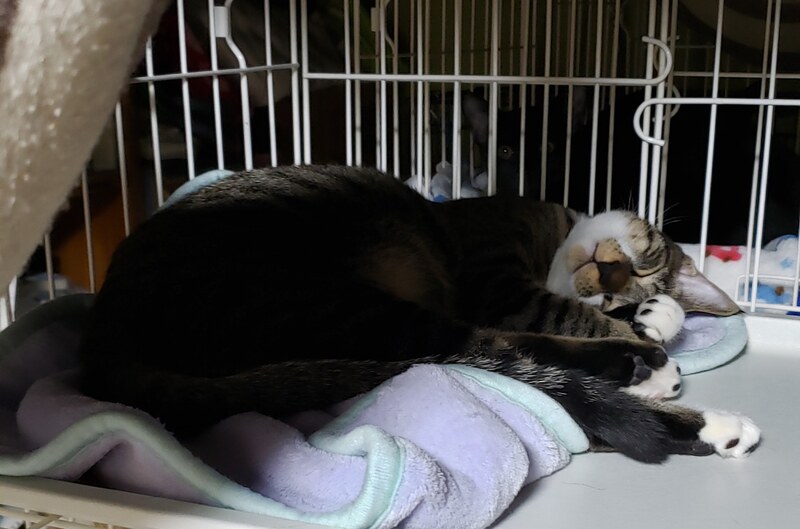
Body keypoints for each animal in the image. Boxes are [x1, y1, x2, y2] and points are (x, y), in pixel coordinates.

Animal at [78, 164, 760, 464]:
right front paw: (650, 332)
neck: (554, 239)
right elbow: (557, 312)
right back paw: (658, 382)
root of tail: (104, 332)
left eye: (629, 281)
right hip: (329, 299)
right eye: (644, 259)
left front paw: (656, 317)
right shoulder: (496, 274)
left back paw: (700, 418)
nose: (611, 275)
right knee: (488, 352)